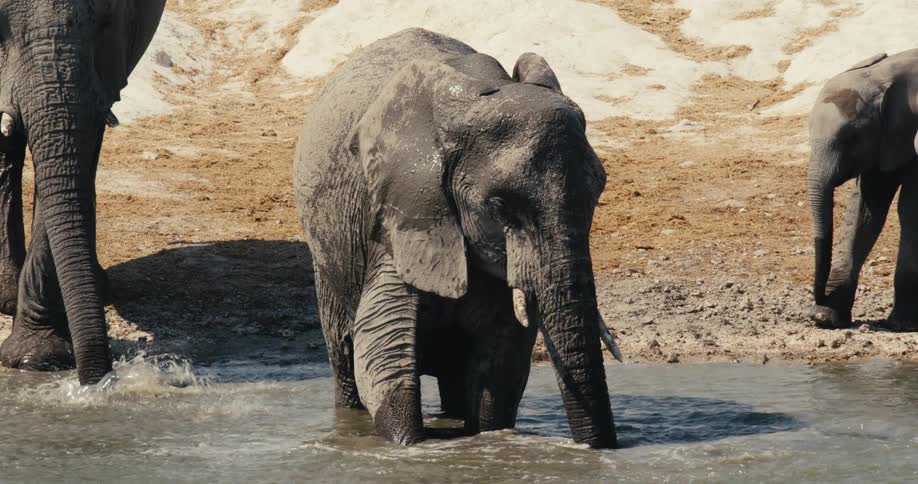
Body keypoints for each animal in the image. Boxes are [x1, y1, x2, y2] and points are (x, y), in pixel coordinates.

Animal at [295, 28, 621, 448]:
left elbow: (502, 358)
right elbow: (382, 344)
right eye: (499, 206)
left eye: (597, 193)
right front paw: (409, 445)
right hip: (328, 258)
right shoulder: (399, 210)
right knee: (344, 356)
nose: (601, 448)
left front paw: (485, 439)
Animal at [808, 49, 918, 329]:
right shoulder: (885, 140)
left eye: (852, 138)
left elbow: (909, 210)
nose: (818, 300)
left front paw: (901, 324)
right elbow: (866, 210)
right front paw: (827, 316)